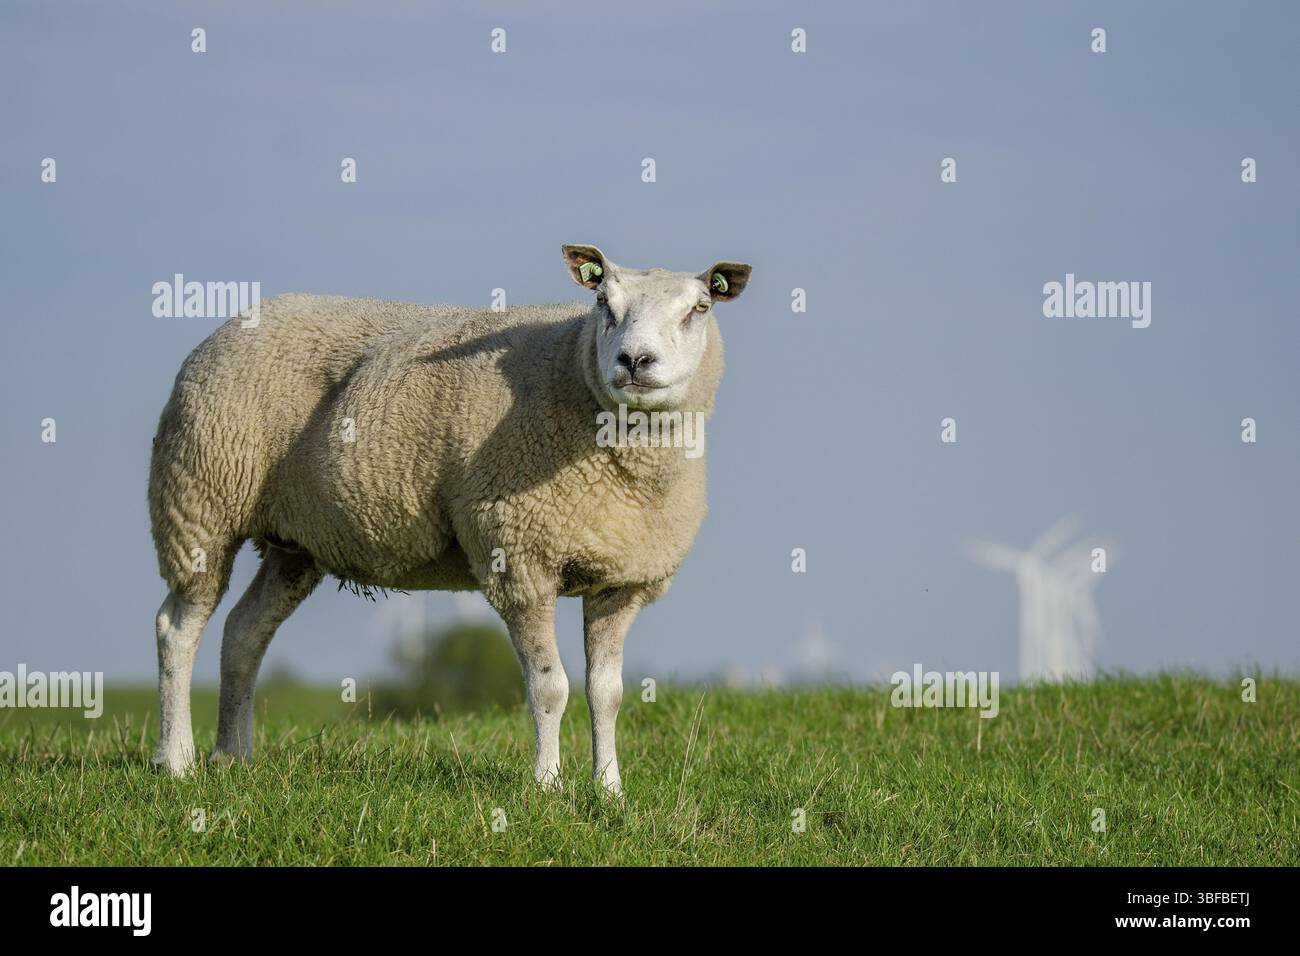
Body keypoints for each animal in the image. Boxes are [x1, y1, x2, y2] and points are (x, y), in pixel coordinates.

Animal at [148, 244, 752, 793]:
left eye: (700, 307)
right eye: (603, 301)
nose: (634, 361)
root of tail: (234, 323)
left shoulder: (621, 579)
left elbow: (607, 694)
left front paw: (609, 791)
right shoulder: (520, 559)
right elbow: (549, 688)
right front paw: (547, 787)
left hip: (292, 543)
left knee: (243, 632)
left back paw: (232, 756)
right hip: (199, 503)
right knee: (177, 628)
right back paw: (176, 761)